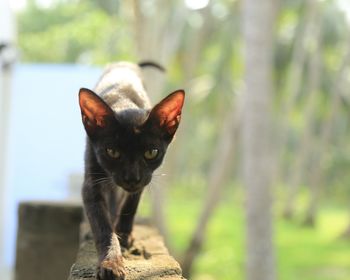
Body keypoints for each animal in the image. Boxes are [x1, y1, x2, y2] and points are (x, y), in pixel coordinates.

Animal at [78, 61, 185, 280]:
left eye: (151, 152)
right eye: (112, 152)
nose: (132, 177)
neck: (124, 103)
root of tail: (125, 63)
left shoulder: (143, 181)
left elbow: (129, 208)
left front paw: (124, 236)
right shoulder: (92, 183)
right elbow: (102, 225)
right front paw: (111, 262)